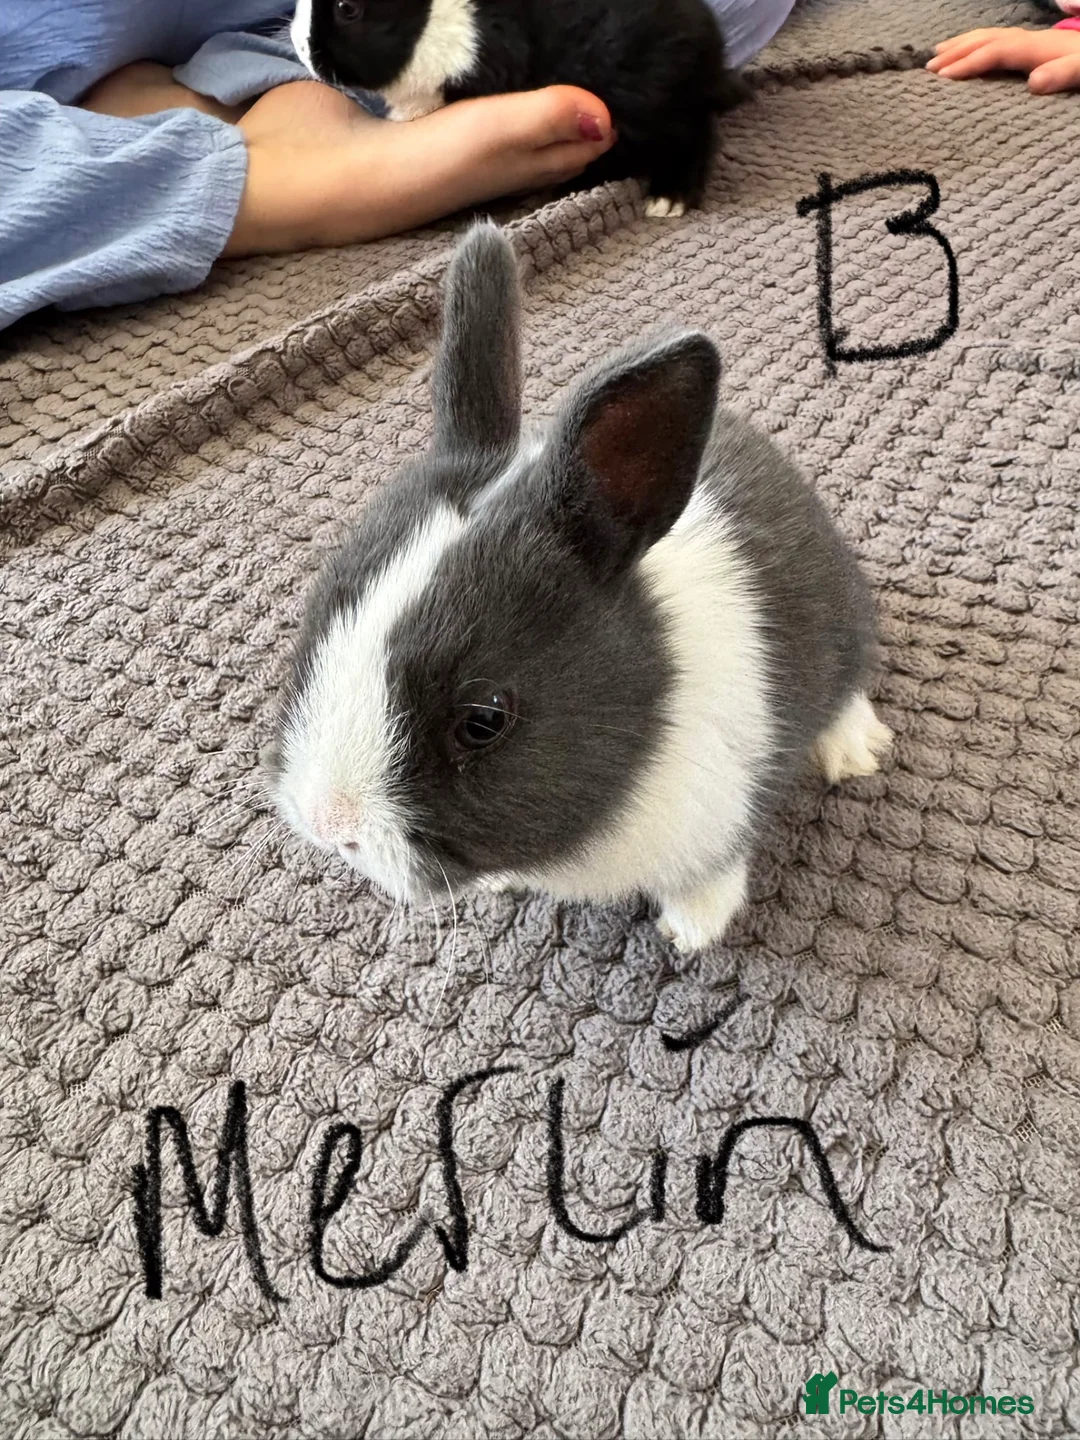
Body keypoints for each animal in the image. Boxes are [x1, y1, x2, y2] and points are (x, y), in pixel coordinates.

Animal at [267, 222, 893, 954]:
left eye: (484, 721)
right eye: (314, 622)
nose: (328, 823)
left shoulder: (721, 814)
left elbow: (713, 876)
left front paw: (688, 933)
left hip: (843, 621)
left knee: (850, 681)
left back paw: (854, 751)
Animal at [289, 0, 746, 216]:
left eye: (347, 8)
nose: (298, 46)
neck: (426, 22)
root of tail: (712, 59)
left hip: (655, 103)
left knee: (694, 135)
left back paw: (668, 199)